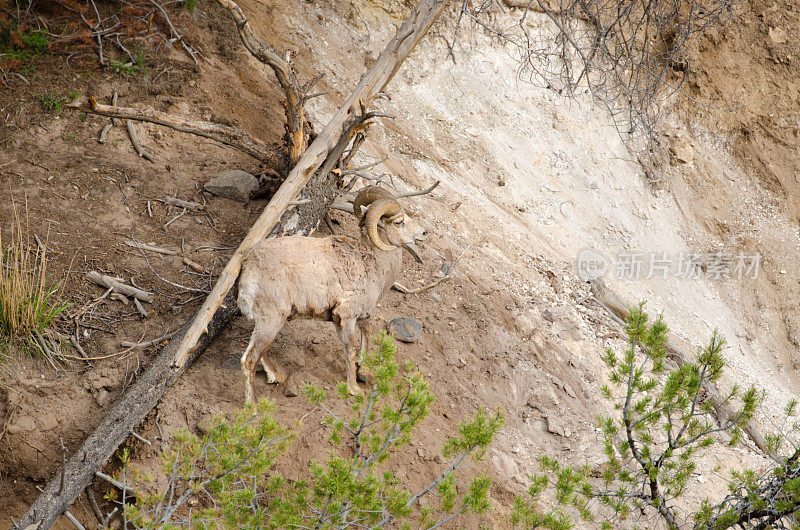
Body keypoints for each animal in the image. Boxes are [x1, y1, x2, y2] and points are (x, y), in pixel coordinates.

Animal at [236, 185, 428, 400]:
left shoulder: (362, 315)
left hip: (268, 322)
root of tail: (249, 265)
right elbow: (350, 351)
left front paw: (363, 371)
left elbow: (366, 336)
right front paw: (354, 389)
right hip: (272, 320)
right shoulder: (346, 317)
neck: (373, 265)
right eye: (398, 222)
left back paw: (277, 376)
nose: (423, 233)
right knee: (249, 360)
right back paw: (252, 404)